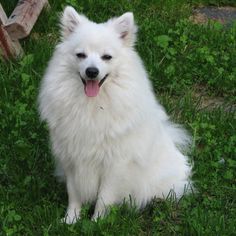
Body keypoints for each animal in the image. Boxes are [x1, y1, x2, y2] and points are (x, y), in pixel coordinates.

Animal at [38, 6, 192, 224]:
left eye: (107, 57)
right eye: (81, 55)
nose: (91, 71)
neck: (92, 106)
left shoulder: (115, 165)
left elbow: (104, 198)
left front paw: (97, 223)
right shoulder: (71, 158)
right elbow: (73, 194)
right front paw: (70, 220)